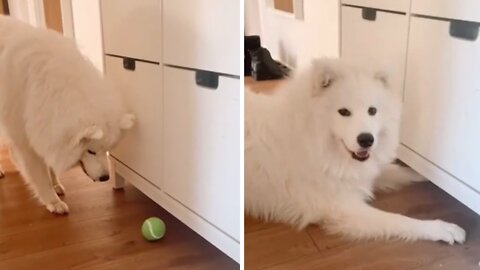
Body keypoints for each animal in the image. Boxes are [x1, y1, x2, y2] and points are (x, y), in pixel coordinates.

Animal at [0, 15, 134, 214]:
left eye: (107, 149)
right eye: (91, 151)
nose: (105, 178)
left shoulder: (44, 129)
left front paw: (56, 184)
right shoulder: (26, 139)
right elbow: (39, 175)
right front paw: (53, 201)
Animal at [246, 58, 464, 245]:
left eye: (372, 111)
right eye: (343, 112)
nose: (367, 140)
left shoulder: (359, 175)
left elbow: (399, 171)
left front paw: (430, 176)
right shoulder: (344, 208)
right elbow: (397, 220)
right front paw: (442, 228)